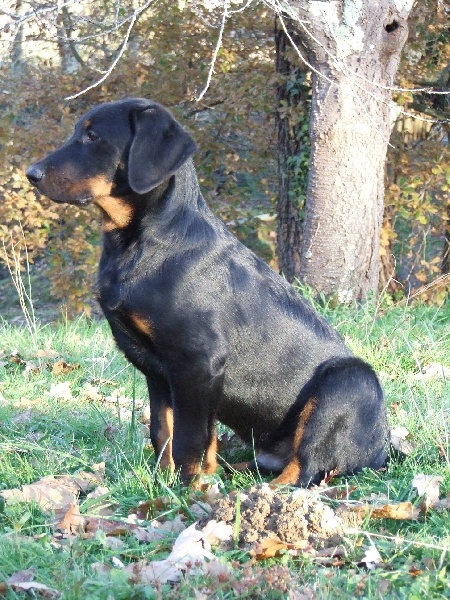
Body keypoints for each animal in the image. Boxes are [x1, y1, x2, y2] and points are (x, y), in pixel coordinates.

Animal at [25, 96, 390, 486]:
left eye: (93, 137)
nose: (31, 174)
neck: (137, 243)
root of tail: (382, 452)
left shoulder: (198, 361)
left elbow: (190, 439)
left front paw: (187, 490)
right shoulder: (159, 370)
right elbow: (164, 432)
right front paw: (166, 483)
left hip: (347, 383)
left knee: (305, 469)